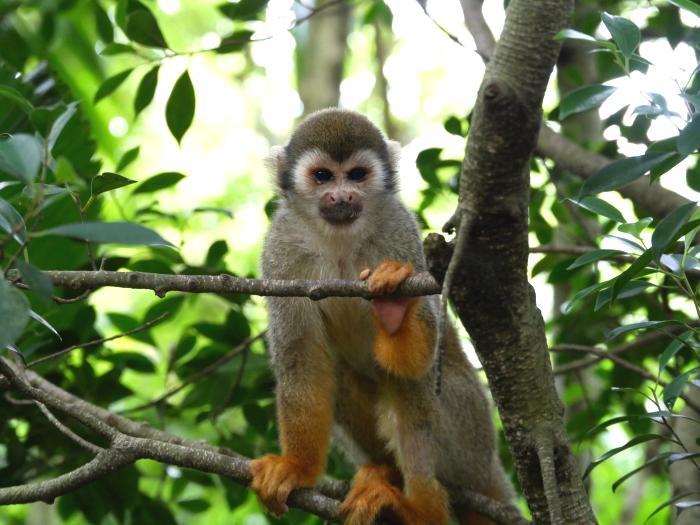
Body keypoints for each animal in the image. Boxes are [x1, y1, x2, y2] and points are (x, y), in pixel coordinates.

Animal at [249, 108, 512, 520]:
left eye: (357, 174)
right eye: (323, 176)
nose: (342, 195)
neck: (339, 239)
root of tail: (489, 467)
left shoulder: (401, 235)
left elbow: (421, 352)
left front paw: (395, 311)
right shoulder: (280, 251)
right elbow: (301, 355)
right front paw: (296, 467)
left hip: (469, 434)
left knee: (413, 382)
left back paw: (421, 509)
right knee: (341, 373)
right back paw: (382, 473)